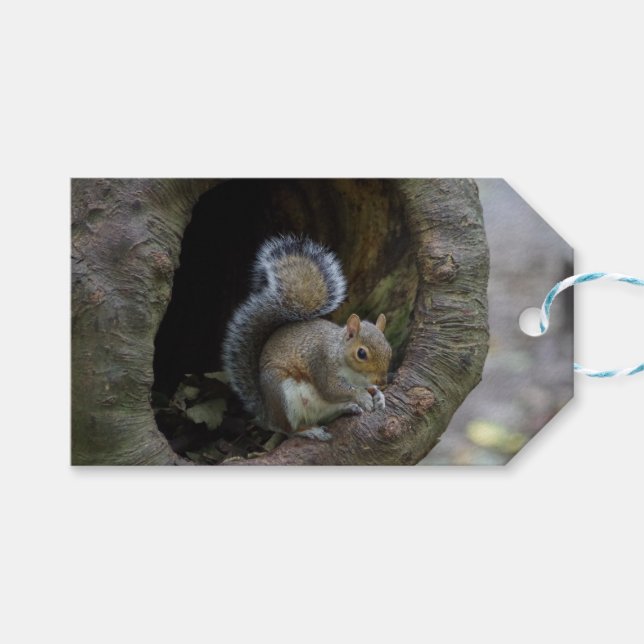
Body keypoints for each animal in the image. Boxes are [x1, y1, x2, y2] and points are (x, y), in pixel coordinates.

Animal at [222, 234, 392, 441]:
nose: (382, 381)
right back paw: (310, 430)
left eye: (389, 349)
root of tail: (267, 413)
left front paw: (378, 395)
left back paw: (348, 407)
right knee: (287, 429)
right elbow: (332, 389)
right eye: (361, 353)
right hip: (283, 395)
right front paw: (362, 396)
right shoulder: (321, 363)